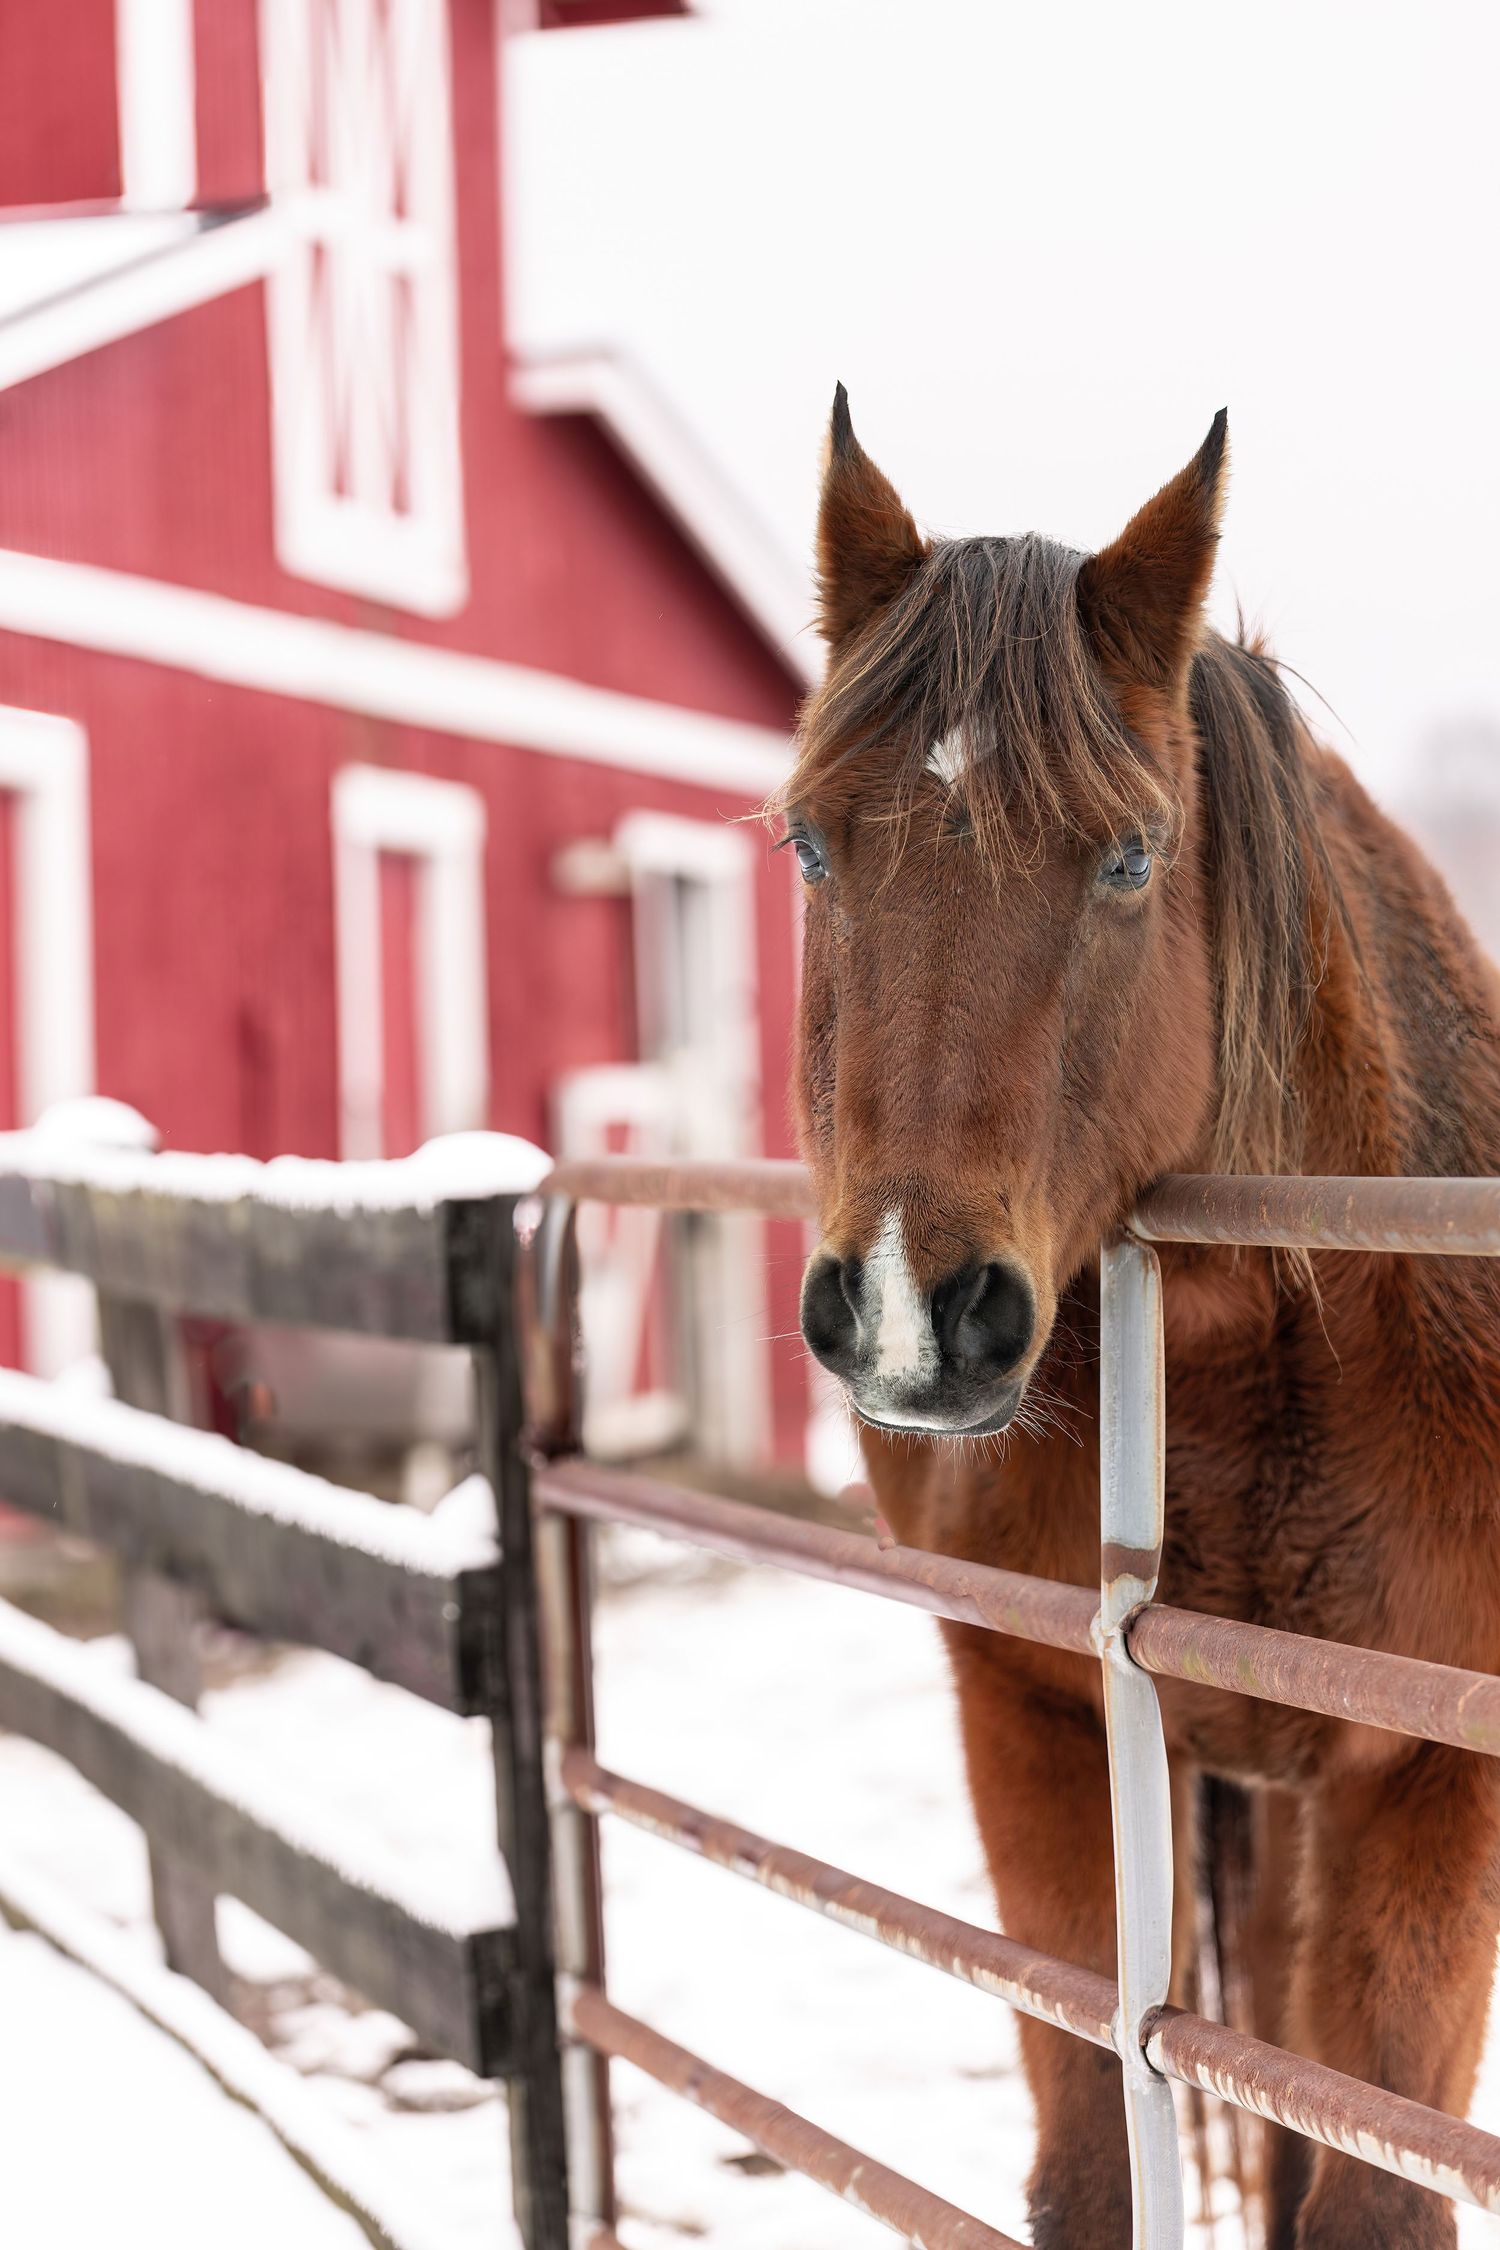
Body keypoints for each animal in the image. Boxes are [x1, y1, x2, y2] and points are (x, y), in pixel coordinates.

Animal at [786, 387, 1500, 2249]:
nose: (911, 1310)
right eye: (807, 839)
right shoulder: (1039, 1723)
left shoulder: (1430, 1787)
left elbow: (1368, 2198)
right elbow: (1094, 2176)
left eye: (1129, 857)